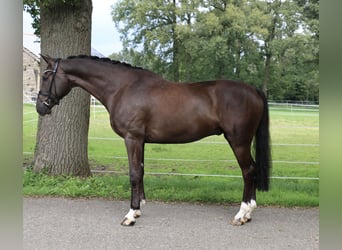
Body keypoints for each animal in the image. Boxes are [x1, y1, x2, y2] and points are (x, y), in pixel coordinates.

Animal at [35, 54, 270, 227]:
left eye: (46, 76)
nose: (40, 107)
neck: (122, 88)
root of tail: (254, 90)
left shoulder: (132, 138)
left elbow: (133, 174)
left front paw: (130, 215)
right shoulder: (141, 141)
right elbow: (141, 171)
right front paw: (139, 208)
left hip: (238, 141)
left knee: (248, 171)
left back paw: (242, 214)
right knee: (252, 170)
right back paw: (248, 214)